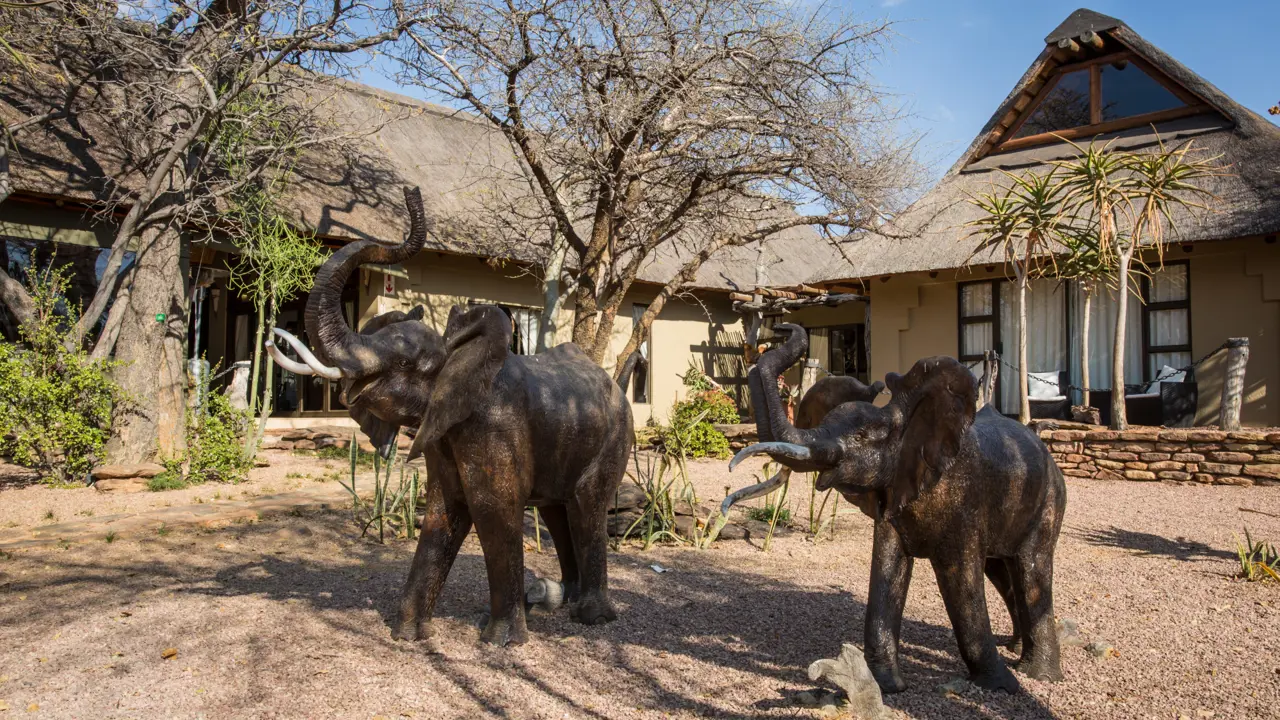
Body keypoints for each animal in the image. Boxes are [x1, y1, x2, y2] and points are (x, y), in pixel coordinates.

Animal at [266, 187, 635, 646]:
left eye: (404, 364)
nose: (411, 193)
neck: (456, 351)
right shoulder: (443, 436)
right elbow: (444, 511)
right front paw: (407, 635)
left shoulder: (492, 426)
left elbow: (492, 510)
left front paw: (500, 643)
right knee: (556, 508)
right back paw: (560, 601)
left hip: (615, 437)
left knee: (586, 506)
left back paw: (591, 617)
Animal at [732, 324, 1065, 693]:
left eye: (862, 436)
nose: (781, 327)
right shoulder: (892, 501)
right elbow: (886, 571)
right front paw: (886, 686)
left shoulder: (965, 500)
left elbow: (962, 585)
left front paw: (1002, 687)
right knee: (1002, 569)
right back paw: (1016, 650)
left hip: (1049, 501)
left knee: (1031, 568)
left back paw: (1037, 675)